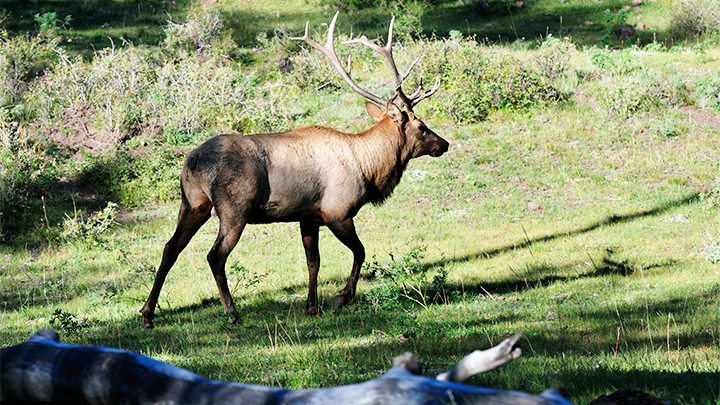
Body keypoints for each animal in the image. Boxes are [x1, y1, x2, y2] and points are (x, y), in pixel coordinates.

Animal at [138, 12, 448, 328]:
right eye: (422, 127)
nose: (444, 144)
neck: (369, 168)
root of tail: (193, 160)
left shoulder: (308, 216)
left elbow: (314, 261)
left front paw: (312, 306)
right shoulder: (338, 211)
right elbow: (360, 251)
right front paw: (341, 297)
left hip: (192, 202)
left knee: (170, 247)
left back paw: (148, 313)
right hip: (234, 209)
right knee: (215, 256)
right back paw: (232, 313)